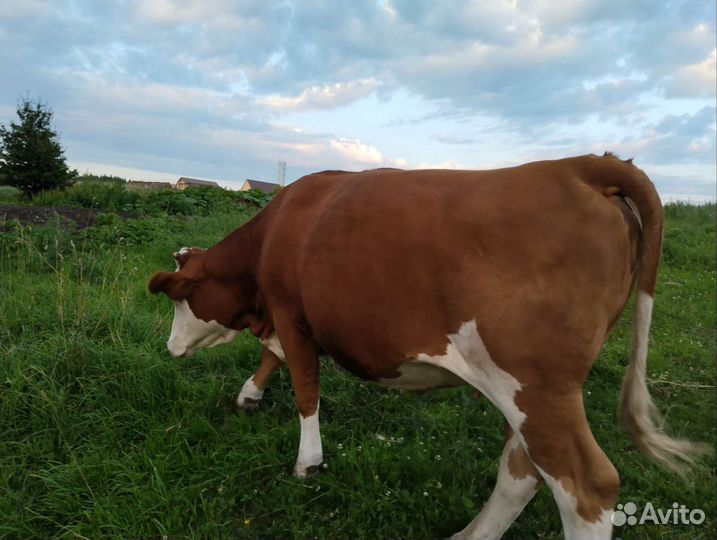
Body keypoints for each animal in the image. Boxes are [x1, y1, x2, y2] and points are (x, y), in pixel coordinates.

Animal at [149, 154, 704, 540]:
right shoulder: (293, 318)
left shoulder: (290, 311)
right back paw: (471, 534)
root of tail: (582, 164)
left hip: (537, 386)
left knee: (586, 485)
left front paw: (308, 462)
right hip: (528, 392)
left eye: (180, 298)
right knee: (522, 469)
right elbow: (274, 357)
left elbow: (305, 387)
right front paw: (250, 394)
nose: (171, 348)